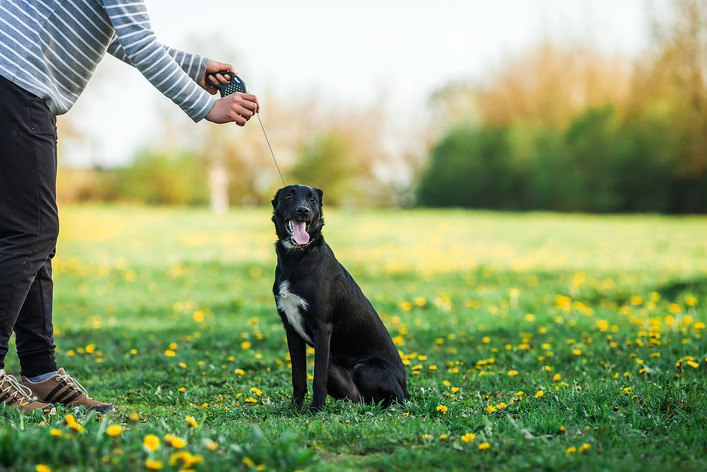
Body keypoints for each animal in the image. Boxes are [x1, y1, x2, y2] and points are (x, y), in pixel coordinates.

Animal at [274, 184, 412, 412]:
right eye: (289, 196)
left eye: (312, 199)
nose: (303, 211)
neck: (299, 257)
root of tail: (406, 389)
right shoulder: (290, 328)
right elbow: (298, 377)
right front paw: (294, 409)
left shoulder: (322, 327)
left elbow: (317, 378)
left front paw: (315, 410)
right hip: (335, 369)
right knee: (360, 400)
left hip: (364, 369)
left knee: (392, 402)